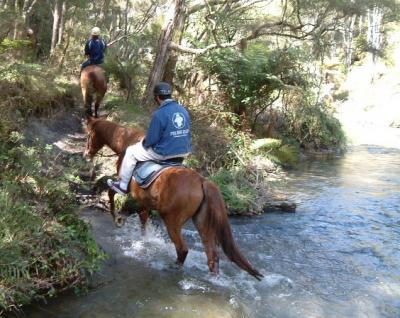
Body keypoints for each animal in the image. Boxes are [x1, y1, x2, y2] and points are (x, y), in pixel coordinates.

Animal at [85, 115, 262, 280]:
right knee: (212, 255)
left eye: (89, 134)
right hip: (202, 223)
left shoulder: (128, 190)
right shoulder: (145, 201)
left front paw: (117, 219)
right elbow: (143, 220)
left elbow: (112, 193)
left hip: (172, 221)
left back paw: (173, 268)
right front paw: (143, 238)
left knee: (182, 249)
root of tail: (201, 181)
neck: (126, 142)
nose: (86, 154)